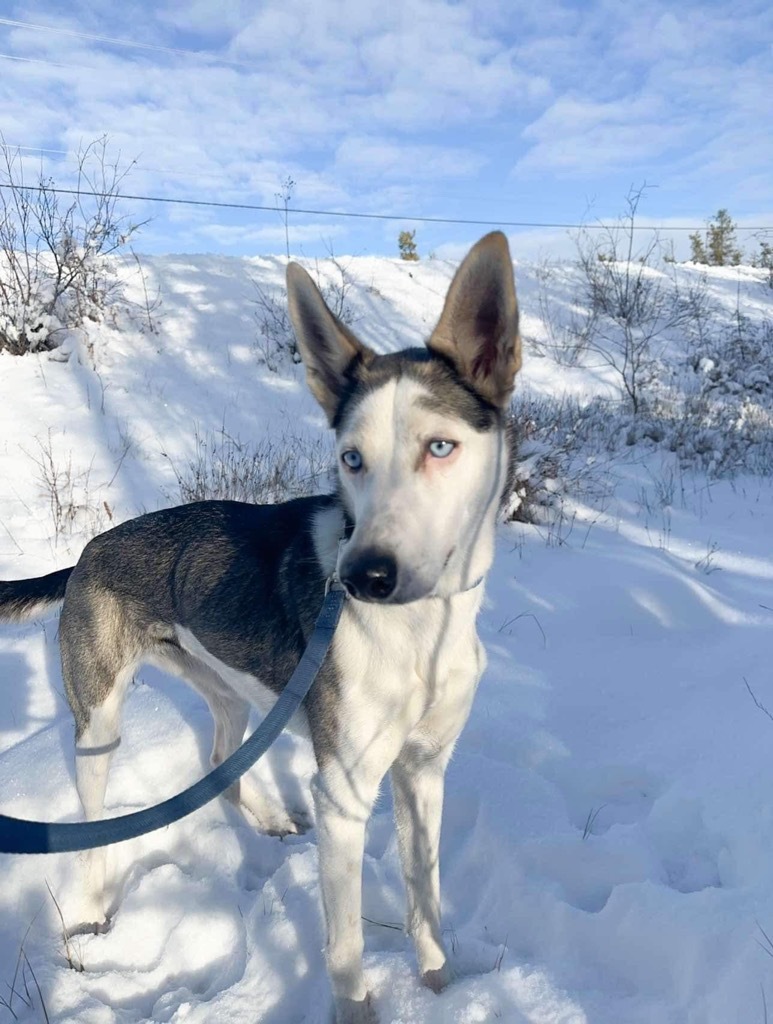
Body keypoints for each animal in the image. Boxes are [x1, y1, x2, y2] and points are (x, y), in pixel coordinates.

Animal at [0, 232, 522, 1024]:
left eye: (440, 447)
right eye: (351, 458)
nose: (363, 576)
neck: (423, 631)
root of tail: (89, 550)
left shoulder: (424, 771)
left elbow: (425, 900)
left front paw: (441, 990)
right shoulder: (344, 796)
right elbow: (345, 950)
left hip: (229, 691)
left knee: (221, 762)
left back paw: (267, 819)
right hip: (99, 725)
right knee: (93, 828)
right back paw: (91, 917)